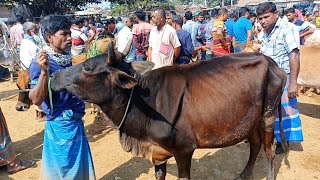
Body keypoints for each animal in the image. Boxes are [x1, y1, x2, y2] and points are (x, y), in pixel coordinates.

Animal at [52, 44, 288, 180]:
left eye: (87, 67)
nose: (54, 76)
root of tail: (271, 61)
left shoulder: (184, 150)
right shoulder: (158, 153)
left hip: (268, 115)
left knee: (269, 148)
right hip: (249, 119)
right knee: (255, 145)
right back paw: (245, 174)